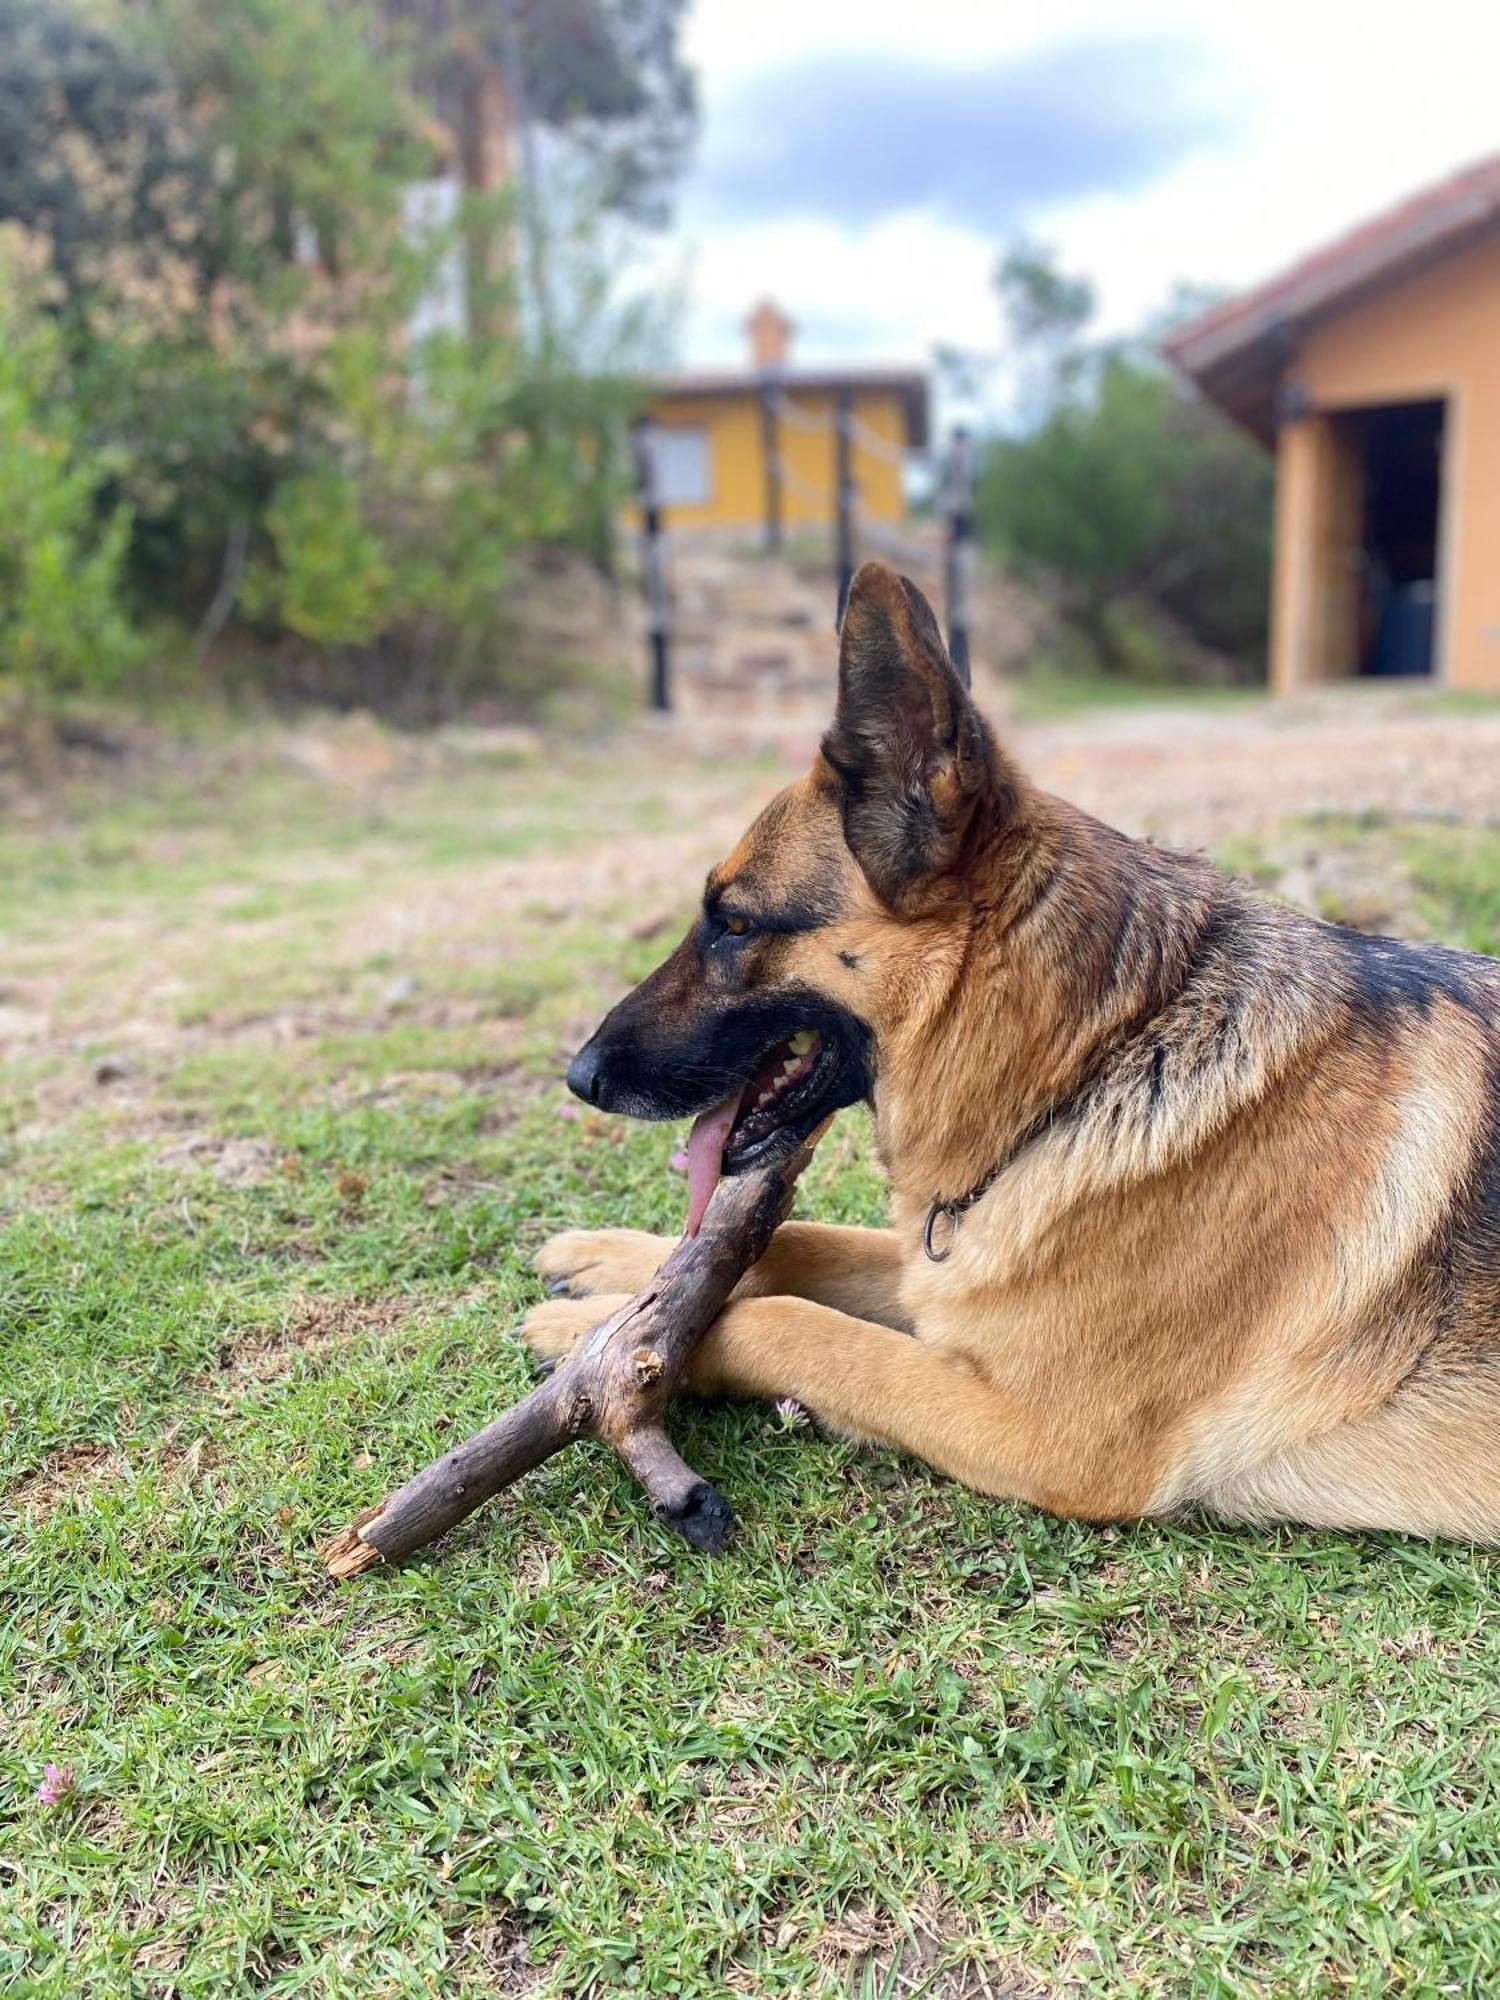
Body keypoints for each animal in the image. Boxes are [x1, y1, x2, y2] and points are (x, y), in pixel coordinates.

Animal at [528, 564, 1500, 1544]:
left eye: (732, 923)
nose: (579, 1077)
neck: (1101, 1057)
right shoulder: (951, 1285)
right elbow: (800, 1242)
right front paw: (615, 1267)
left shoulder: (1046, 1434)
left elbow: (787, 1322)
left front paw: (600, 1343)